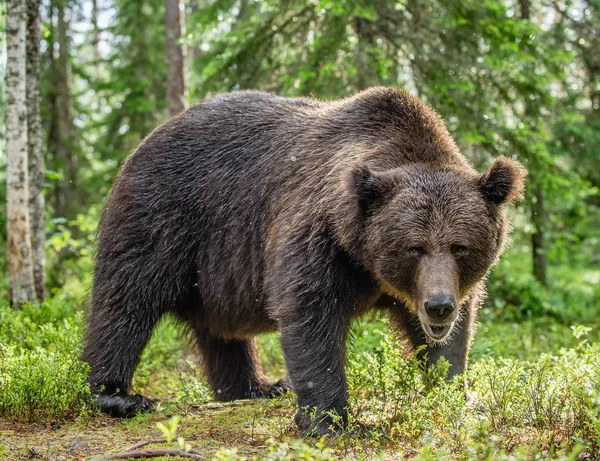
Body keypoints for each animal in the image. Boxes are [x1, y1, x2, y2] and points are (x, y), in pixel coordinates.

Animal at [83, 86, 524, 434]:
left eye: (459, 246)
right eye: (413, 247)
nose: (438, 305)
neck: (365, 261)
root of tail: (145, 141)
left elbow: (452, 339)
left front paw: (455, 393)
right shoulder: (318, 234)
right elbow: (311, 314)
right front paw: (334, 422)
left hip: (215, 273)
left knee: (220, 331)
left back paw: (257, 387)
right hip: (166, 217)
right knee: (127, 298)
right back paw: (117, 395)